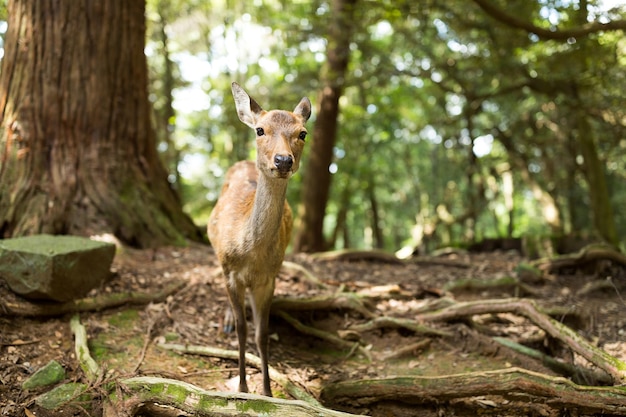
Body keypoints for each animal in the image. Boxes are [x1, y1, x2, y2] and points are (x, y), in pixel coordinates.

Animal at [207, 82, 310, 396]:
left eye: (302, 133)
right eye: (260, 130)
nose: (283, 159)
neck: (251, 255)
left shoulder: (269, 278)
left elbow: (262, 334)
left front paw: (266, 392)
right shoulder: (230, 272)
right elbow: (243, 330)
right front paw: (242, 386)